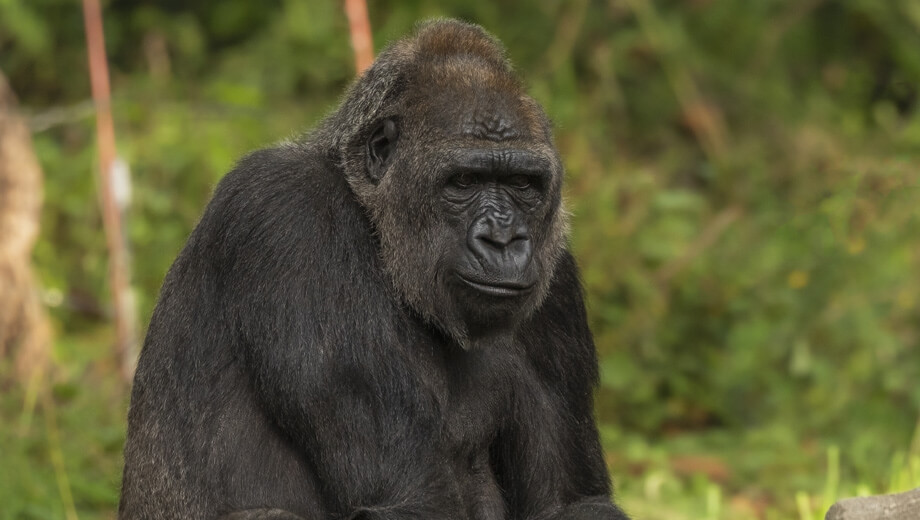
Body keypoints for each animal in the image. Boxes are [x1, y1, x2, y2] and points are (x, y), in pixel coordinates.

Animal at [117, 18, 632, 520]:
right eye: (464, 181)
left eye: (523, 184)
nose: (504, 240)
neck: (377, 230)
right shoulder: (291, 214)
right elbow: (414, 500)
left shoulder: (556, 281)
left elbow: (572, 503)